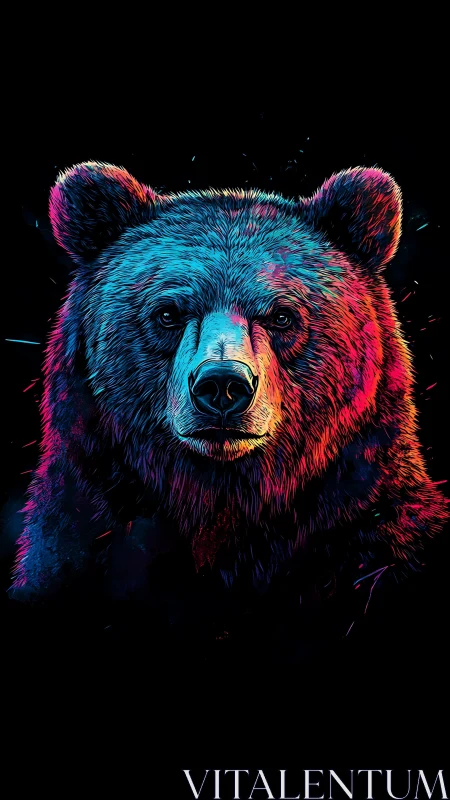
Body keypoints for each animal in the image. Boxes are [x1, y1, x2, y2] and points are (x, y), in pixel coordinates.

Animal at [10, 161, 448, 626]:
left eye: (282, 315)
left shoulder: (370, 529)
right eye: (168, 312)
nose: (222, 385)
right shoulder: (80, 531)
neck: (223, 499)